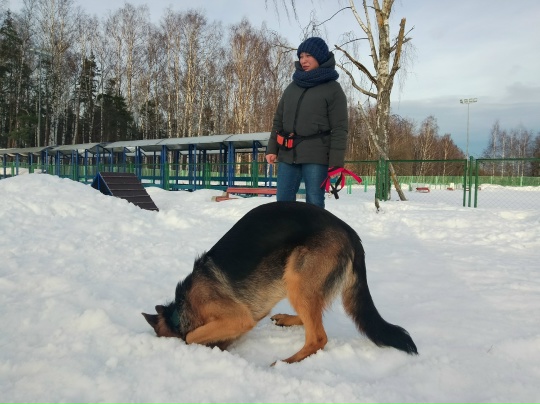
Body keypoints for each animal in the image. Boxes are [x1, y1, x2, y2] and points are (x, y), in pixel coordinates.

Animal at [142, 201, 418, 364]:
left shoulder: (238, 318)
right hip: (292, 279)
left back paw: (286, 362)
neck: (181, 310)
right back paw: (287, 319)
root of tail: (350, 233)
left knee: (318, 337)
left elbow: (191, 337)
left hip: (297, 278)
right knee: (312, 319)